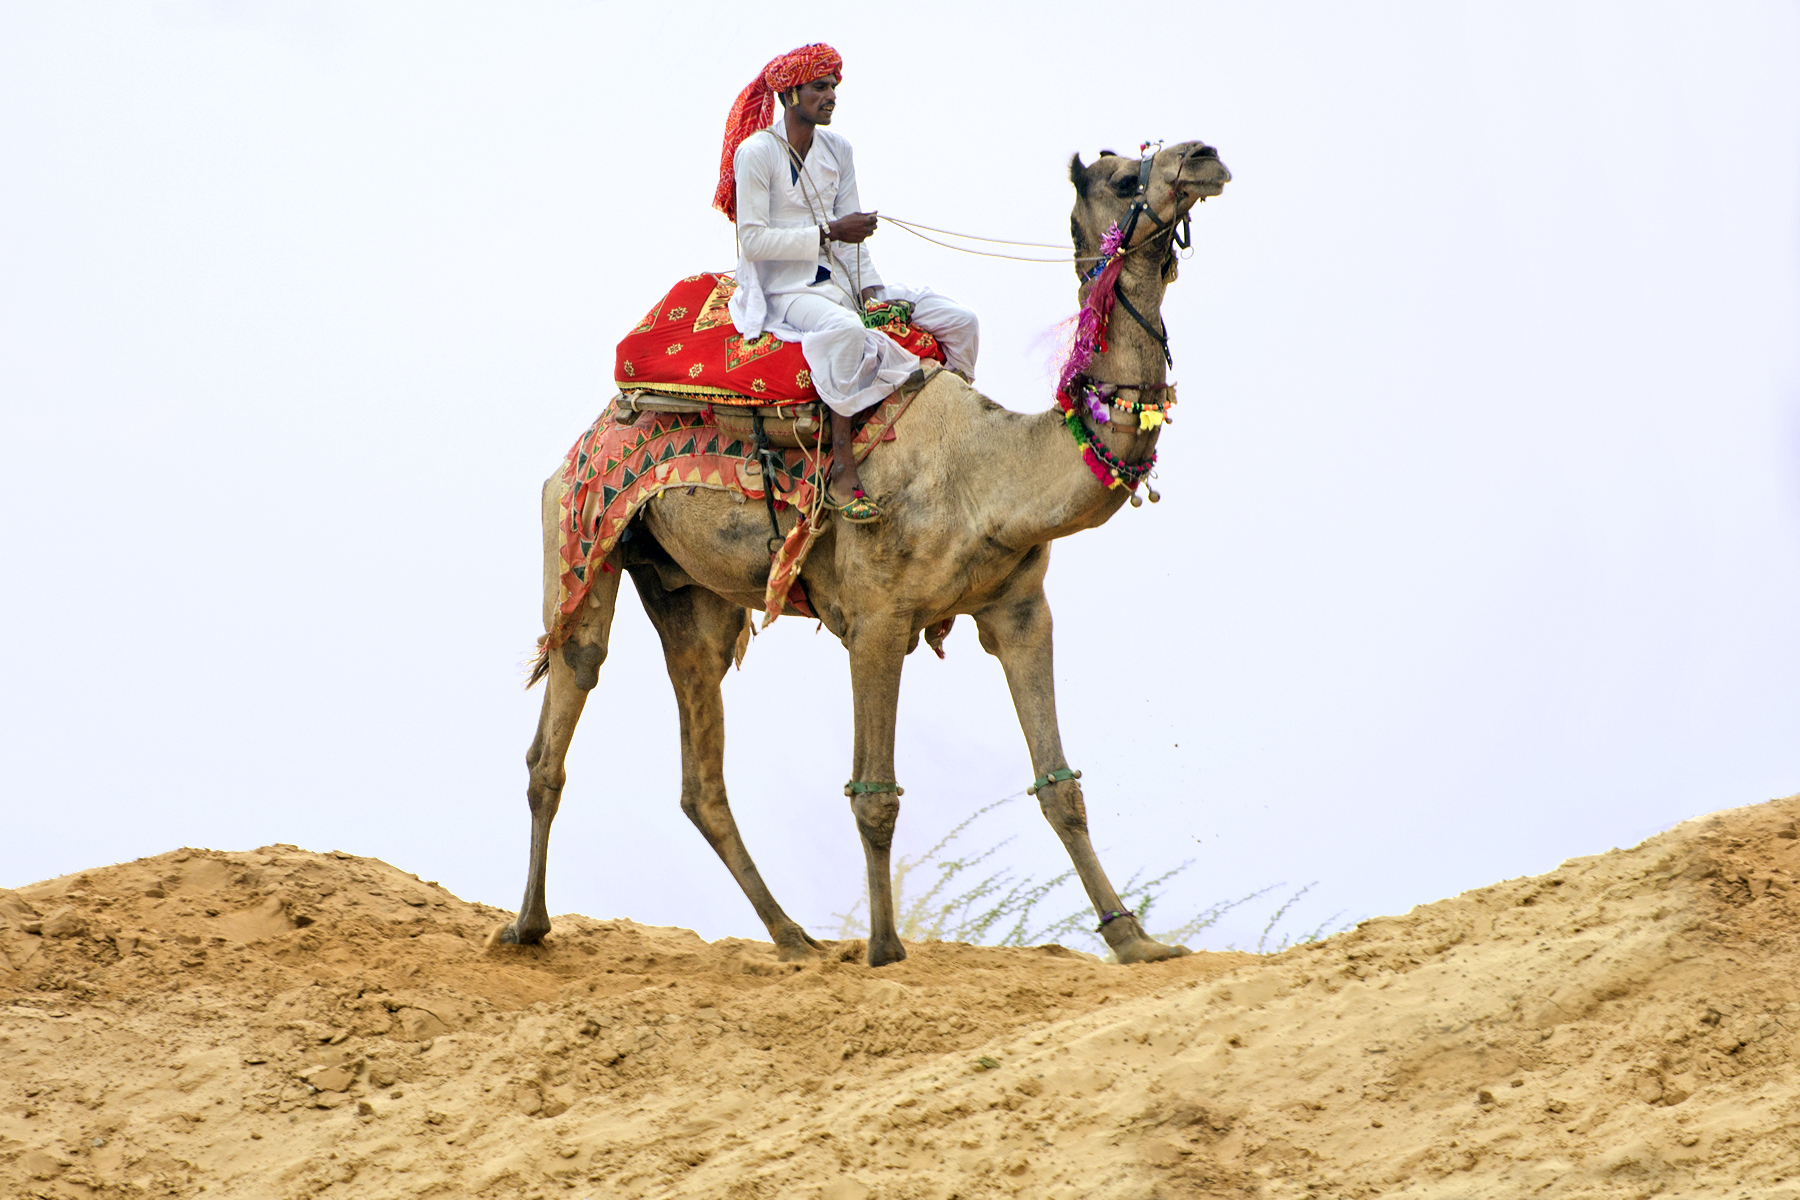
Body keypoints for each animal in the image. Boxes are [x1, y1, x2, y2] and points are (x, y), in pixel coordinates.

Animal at [507, 138, 1238, 964]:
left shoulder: (1019, 607)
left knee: (701, 776)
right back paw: (527, 926)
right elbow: (875, 794)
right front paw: (885, 949)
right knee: (561, 714)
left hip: (692, 597)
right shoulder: (877, 620)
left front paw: (1136, 940)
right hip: (581, 534)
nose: (1205, 156)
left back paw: (792, 937)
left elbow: (1060, 783)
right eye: (1121, 177)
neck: (990, 473)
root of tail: (590, 435)